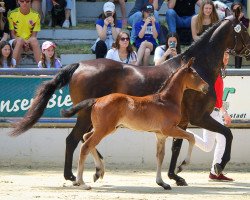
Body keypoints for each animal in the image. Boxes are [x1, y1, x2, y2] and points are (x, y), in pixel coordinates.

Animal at [60, 57, 209, 189]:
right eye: (196, 74)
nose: (206, 87)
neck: (166, 100)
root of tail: (96, 100)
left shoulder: (160, 135)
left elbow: (160, 156)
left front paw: (162, 183)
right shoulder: (169, 129)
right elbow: (191, 137)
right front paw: (182, 165)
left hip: (105, 128)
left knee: (86, 138)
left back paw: (98, 171)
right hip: (104, 129)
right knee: (85, 145)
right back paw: (81, 182)